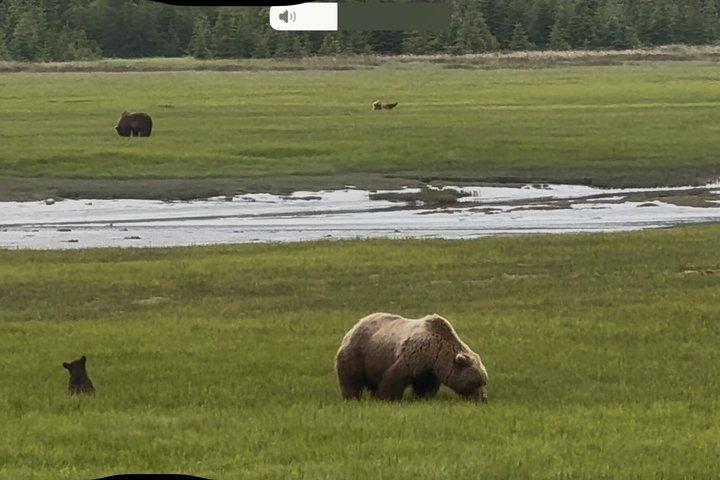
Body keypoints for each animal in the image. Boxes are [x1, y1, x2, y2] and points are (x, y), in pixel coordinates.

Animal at [335, 313, 488, 402]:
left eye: (484, 381)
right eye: (475, 382)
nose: (482, 399)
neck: (437, 355)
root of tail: (354, 327)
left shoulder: (429, 370)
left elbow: (426, 386)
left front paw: (424, 398)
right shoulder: (414, 355)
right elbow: (395, 377)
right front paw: (389, 398)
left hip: (374, 362)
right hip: (358, 353)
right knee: (351, 379)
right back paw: (352, 398)